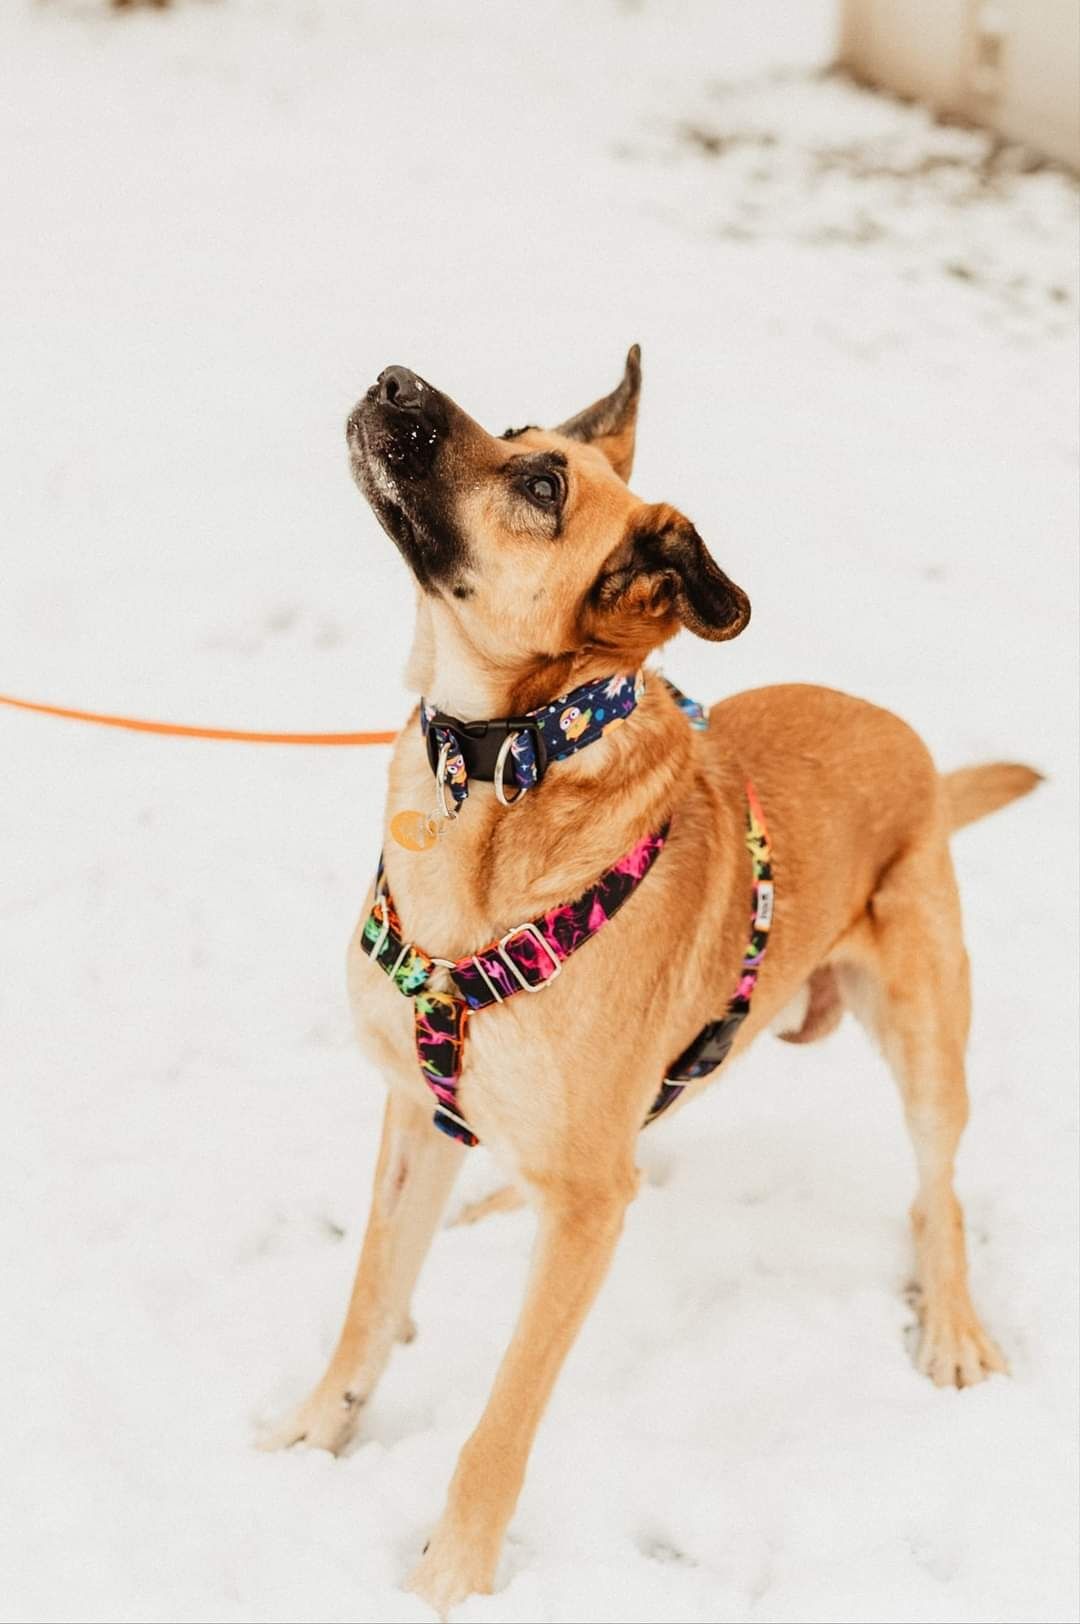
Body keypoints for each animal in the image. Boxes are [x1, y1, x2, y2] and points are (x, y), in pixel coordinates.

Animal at [264, 352, 1039, 1611]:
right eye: (521, 431)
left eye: (540, 484)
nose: (394, 378)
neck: (503, 770)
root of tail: (907, 738)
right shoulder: (414, 1116)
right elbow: (369, 1302)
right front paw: (310, 1437)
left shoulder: (585, 1212)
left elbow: (503, 1419)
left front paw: (447, 1577)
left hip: (927, 1038)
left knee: (941, 1192)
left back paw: (954, 1325)